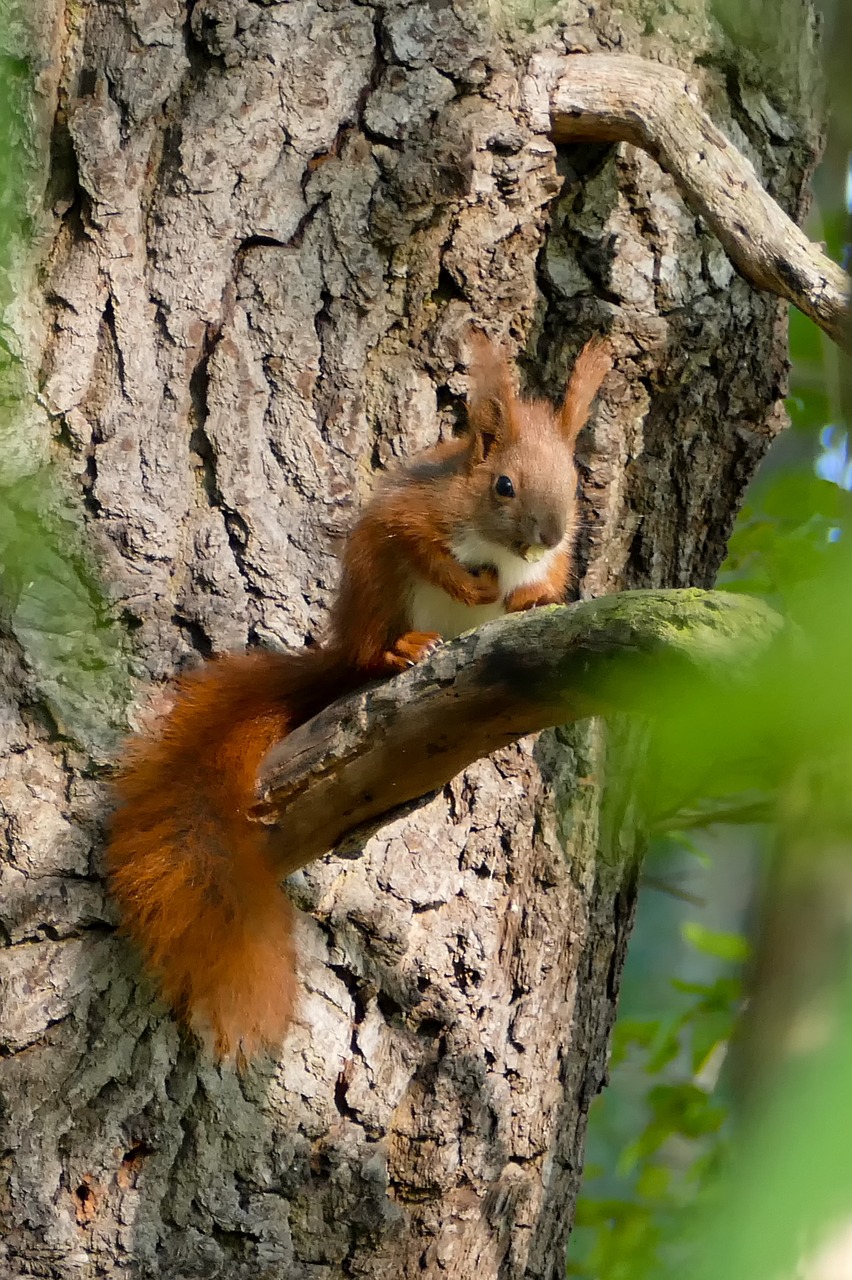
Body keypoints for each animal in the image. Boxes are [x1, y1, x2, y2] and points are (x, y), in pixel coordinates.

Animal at [108, 332, 611, 1059]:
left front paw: (537, 596)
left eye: (574, 485)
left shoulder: (556, 557)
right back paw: (405, 651)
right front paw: (469, 585)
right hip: (376, 588)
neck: (501, 549)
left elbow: (547, 582)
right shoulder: (411, 517)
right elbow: (422, 545)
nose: (546, 534)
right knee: (377, 645)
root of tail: (343, 650)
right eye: (504, 485)